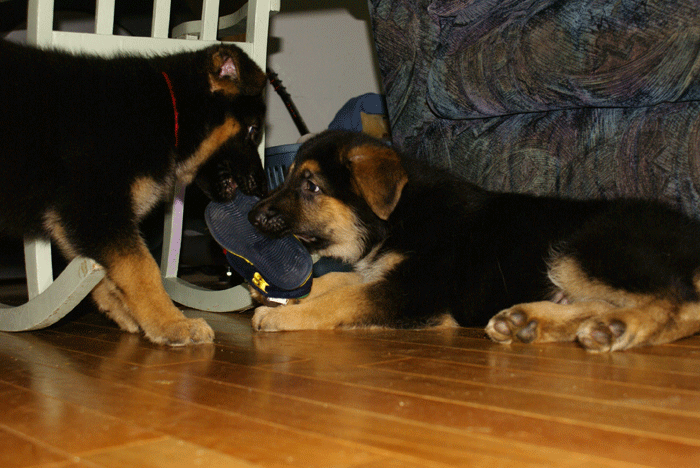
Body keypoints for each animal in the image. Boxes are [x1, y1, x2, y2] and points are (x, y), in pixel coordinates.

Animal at [0, 38, 268, 346]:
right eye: (253, 130)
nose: (264, 189)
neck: (171, 111)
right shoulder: (98, 212)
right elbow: (142, 268)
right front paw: (172, 323)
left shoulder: (77, 220)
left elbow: (103, 275)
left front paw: (125, 312)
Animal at [250, 129, 700, 352]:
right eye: (290, 177)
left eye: (310, 186)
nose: (253, 216)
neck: (397, 216)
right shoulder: (385, 273)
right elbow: (332, 281)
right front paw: (281, 295)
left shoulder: (416, 291)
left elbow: (343, 298)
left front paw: (279, 316)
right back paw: (530, 322)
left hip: (587, 247)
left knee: (681, 303)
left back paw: (616, 330)